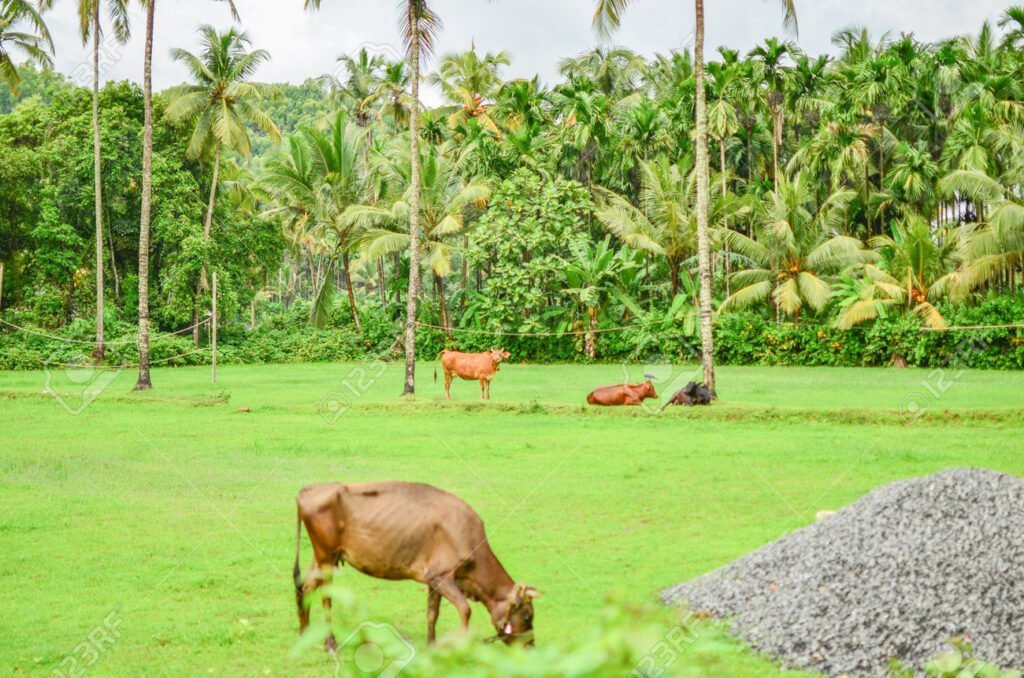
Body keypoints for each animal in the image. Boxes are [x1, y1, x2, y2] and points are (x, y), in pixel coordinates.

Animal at [294, 481, 540, 651]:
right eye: (528, 616)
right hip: (326, 555)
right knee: (325, 596)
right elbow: (465, 609)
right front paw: (461, 647)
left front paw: (432, 646)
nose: (531, 646)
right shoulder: (443, 575)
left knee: (305, 586)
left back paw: (305, 633)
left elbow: (432, 613)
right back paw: (330, 643)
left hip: (324, 555)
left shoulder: (433, 579)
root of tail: (308, 490)